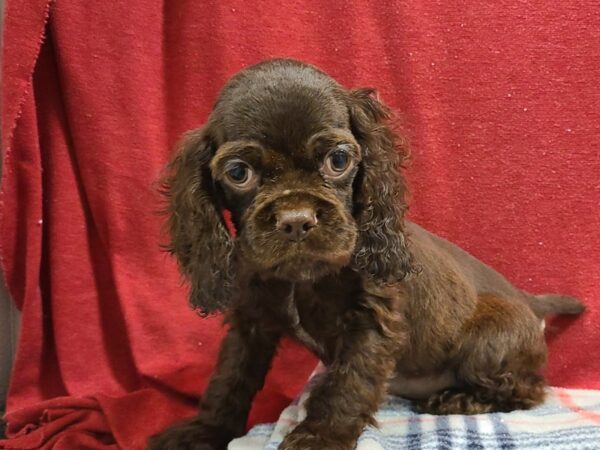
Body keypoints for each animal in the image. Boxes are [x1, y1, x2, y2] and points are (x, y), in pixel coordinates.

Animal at [148, 59, 584, 450]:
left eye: (338, 160)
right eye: (239, 172)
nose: (296, 220)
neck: (302, 280)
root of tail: (526, 300)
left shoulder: (371, 319)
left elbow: (348, 383)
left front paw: (319, 438)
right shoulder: (250, 322)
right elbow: (229, 380)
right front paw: (203, 431)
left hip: (488, 342)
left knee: (529, 389)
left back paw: (459, 399)